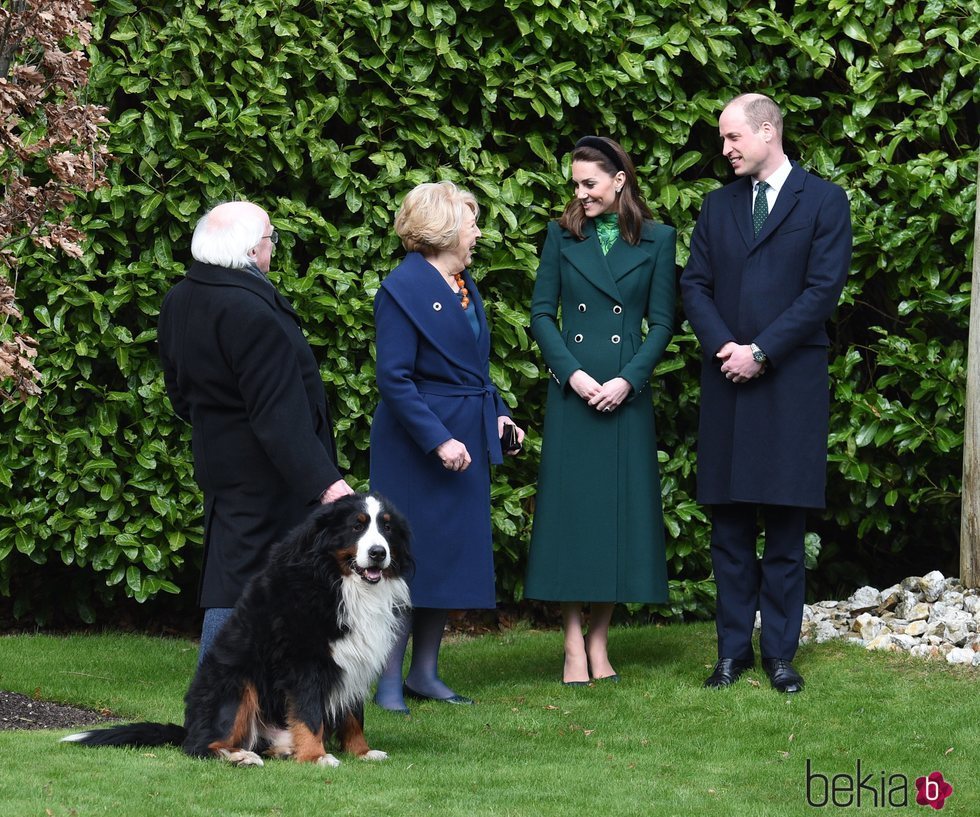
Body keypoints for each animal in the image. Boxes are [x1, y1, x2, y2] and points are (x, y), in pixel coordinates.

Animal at [61, 494, 414, 768]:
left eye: (386, 528)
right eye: (357, 526)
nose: (378, 553)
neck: (336, 580)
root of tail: (190, 726)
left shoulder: (355, 658)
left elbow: (354, 715)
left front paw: (362, 751)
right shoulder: (305, 660)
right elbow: (309, 712)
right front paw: (316, 756)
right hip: (237, 683)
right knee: (200, 747)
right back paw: (240, 756)